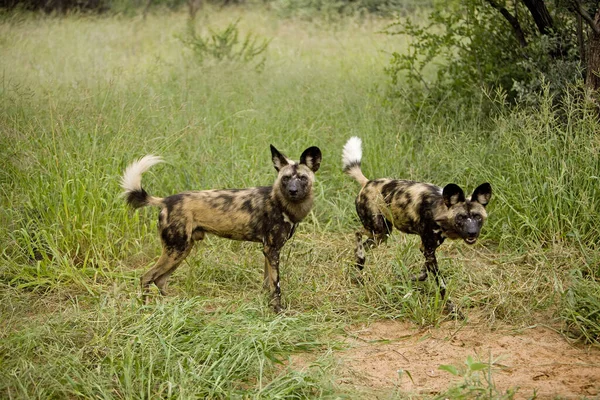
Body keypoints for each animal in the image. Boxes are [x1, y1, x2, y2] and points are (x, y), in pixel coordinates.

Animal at [119, 145, 322, 312]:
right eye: (286, 178)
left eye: (302, 178)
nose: (293, 191)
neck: (282, 203)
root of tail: (166, 200)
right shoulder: (272, 250)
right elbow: (276, 286)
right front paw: (278, 311)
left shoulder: (268, 251)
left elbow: (267, 284)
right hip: (175, 250)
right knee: (146, 277)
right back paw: (146, 311)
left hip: (181, 250)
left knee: (160, 280)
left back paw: (174, 308)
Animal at [342, 138, 492, 312]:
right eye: (460, 217)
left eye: (477, 217)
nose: (472, 233)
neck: (439, 209)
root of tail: (367, 183)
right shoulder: (429, 249)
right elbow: (442, 284)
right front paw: (452, 309)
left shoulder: (428, 249)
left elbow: (424, 273)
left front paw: (409, 278)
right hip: (378, 229)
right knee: (357, 233)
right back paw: (360, 261)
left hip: (383, 234)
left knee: (362, 240)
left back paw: (359, 266)